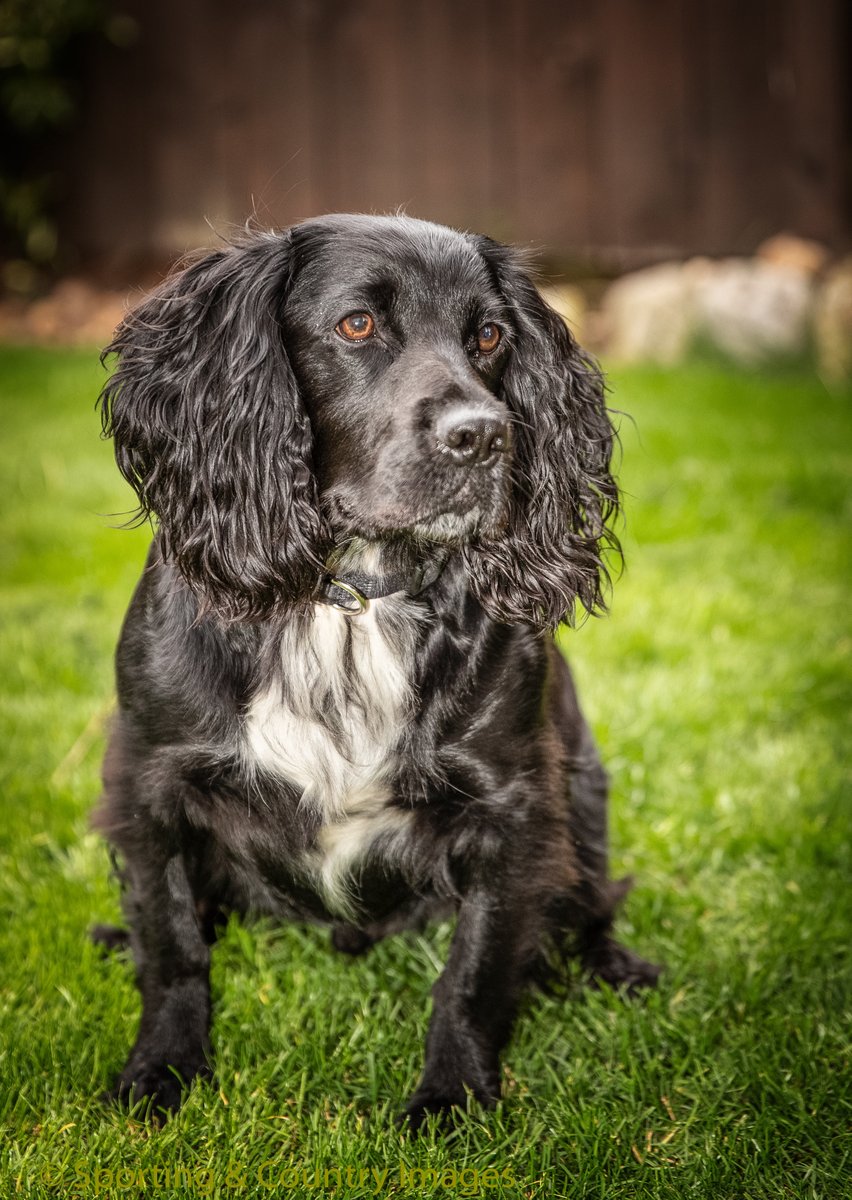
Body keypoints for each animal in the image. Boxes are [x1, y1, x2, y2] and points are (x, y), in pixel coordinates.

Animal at [95, 216, 662, 1123]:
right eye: (357, 325)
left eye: (489, 336)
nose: (484, 434)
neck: (353, 600)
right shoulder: (146, 781)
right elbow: (173, 943)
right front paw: (162, 1071)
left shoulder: (514, 806)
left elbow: (473, 972)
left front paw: (453, 1097)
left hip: (584, 780)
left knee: (592, 898)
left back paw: (613, 965)